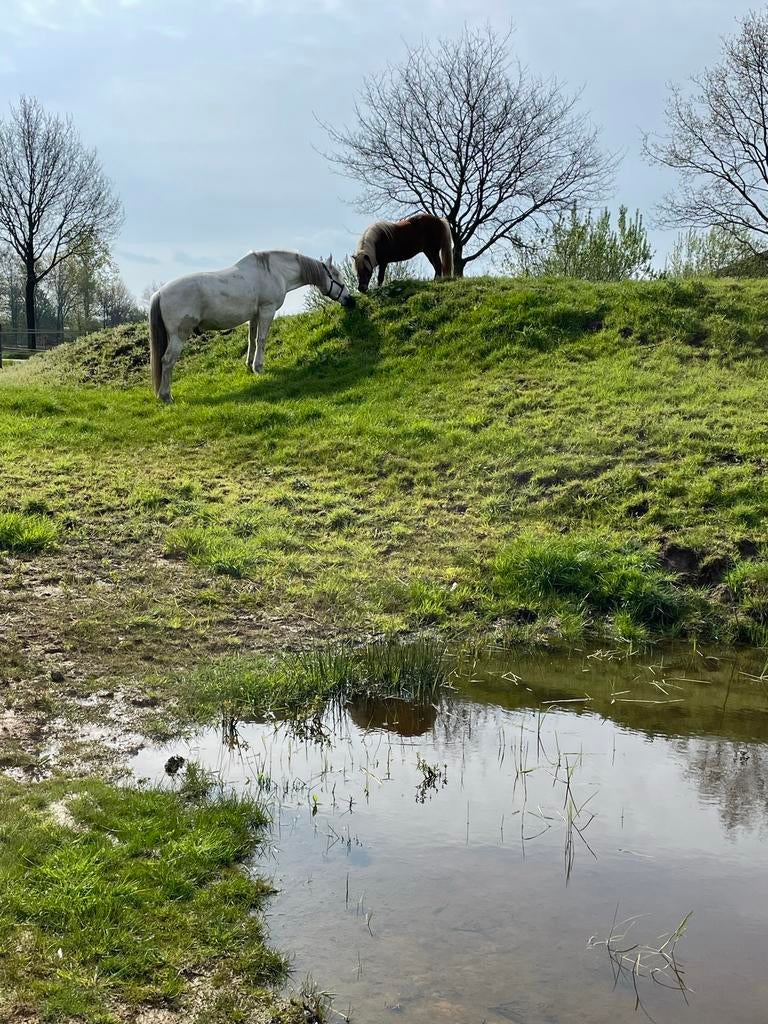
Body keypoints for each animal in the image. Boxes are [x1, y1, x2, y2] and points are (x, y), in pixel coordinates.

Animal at [148, 251, 354, 402]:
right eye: (337, 276)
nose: (350, 300)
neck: (274, 272)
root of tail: (159, 293)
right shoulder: (266, 311)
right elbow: (262, 339)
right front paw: (259, 367)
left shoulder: (254, 316)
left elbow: (252, 340)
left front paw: (249, 365)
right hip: (178, 335)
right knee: (167, 360)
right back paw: (166, 396)